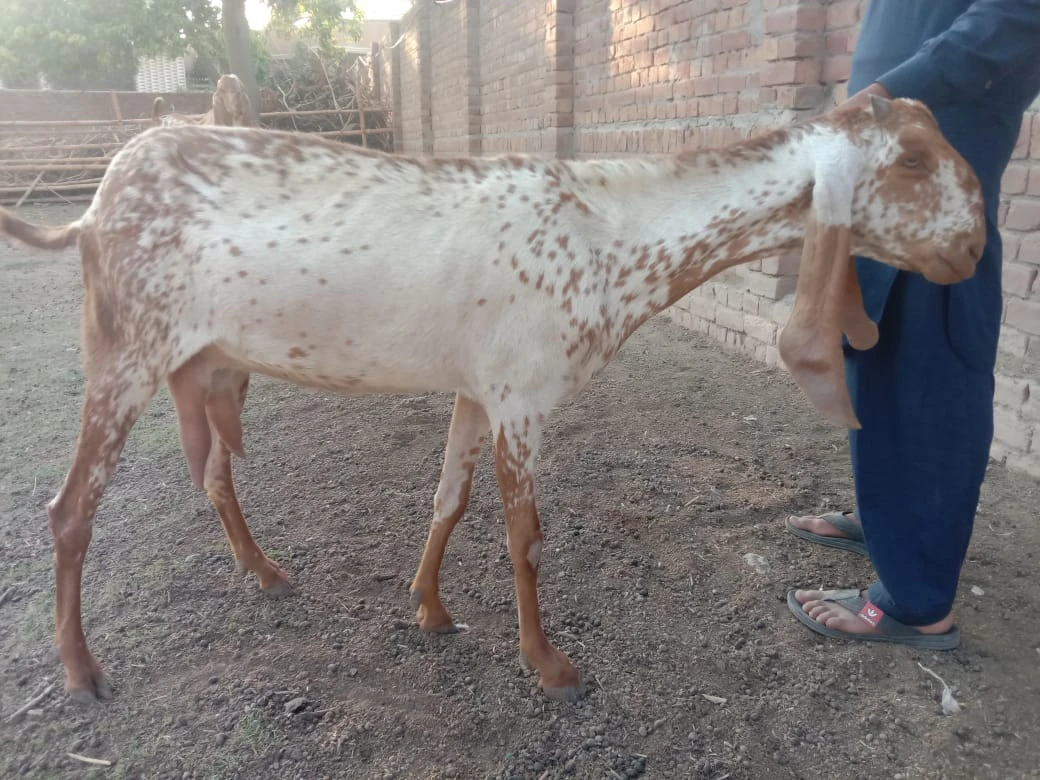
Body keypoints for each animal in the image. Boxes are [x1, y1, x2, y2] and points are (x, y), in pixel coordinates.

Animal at [0, 94, 985, 707]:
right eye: (912, 157)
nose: (974, 249)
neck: (609, 239)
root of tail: (91, 207)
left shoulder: (479, 390)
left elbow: (449, 497)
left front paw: (429, 609)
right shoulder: (524, 394)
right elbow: (525, 534)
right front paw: (548, 663)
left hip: (206, 365)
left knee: (209, 471)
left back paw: (265, 571)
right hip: (125, 353)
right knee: (70, 510)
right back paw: (83, 670)